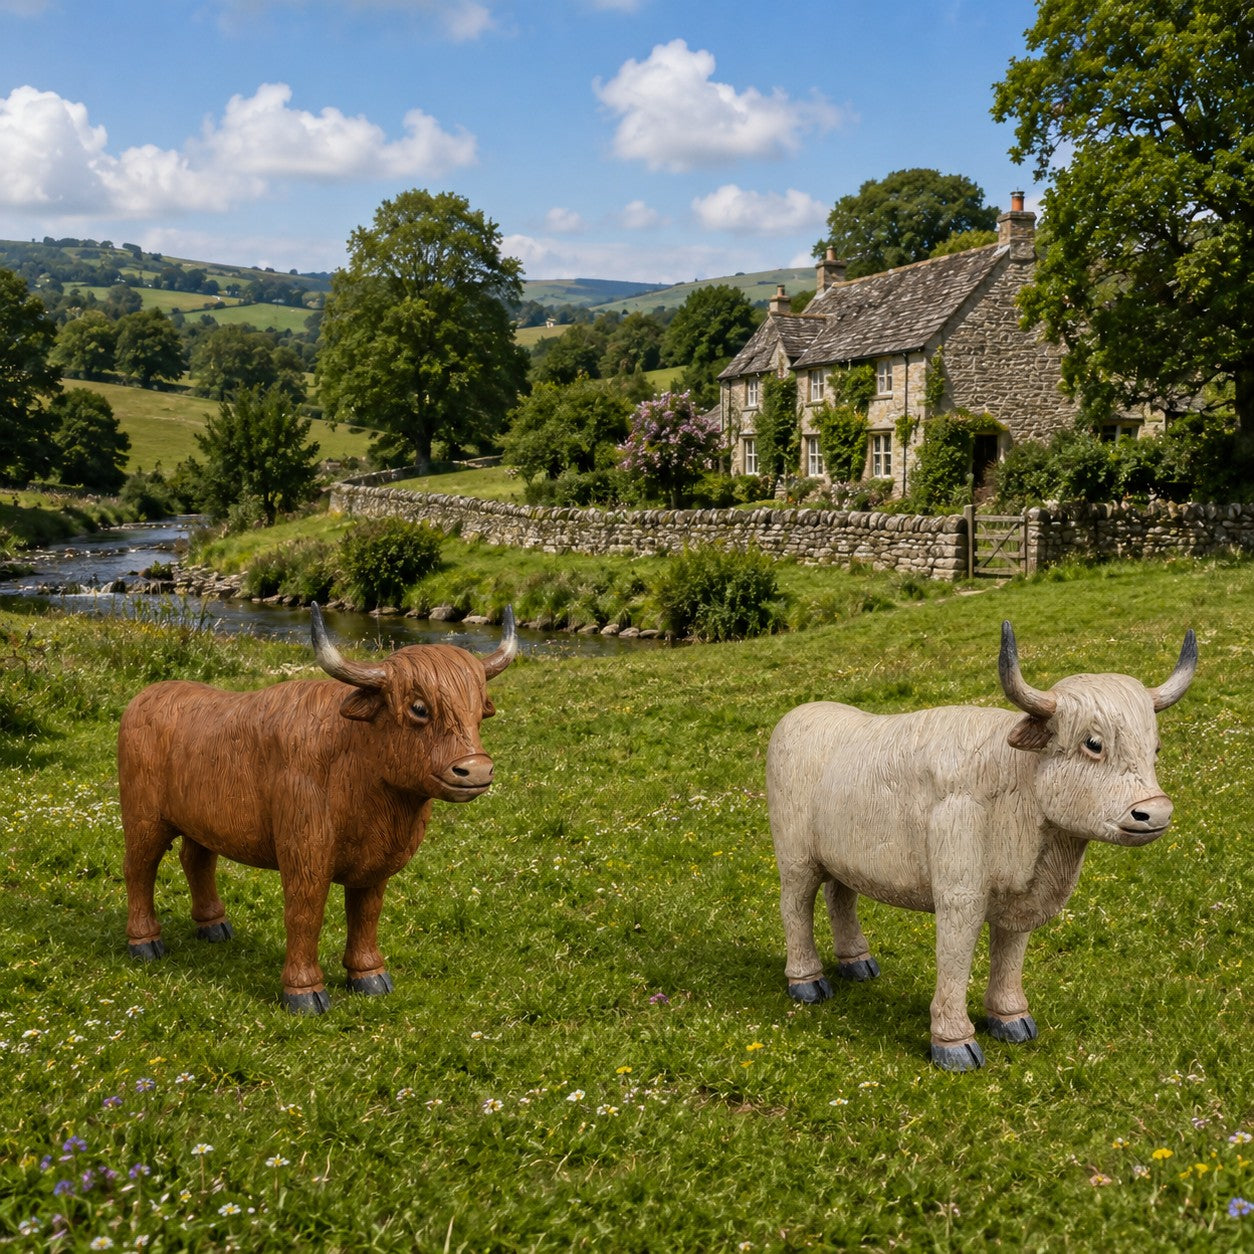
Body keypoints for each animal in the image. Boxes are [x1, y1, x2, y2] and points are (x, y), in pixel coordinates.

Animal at [118, 604, 518, 1013]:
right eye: (418, 708)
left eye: (480, 712)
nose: (477, 769)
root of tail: (145, 697)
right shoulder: (305, 857)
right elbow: (305, 915)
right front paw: (304, 991)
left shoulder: (375, 866)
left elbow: (366, 915)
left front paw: (369, 975)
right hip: (143, 819)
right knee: (139, 870)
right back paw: (145, 942)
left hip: (202, 822)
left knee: (196, 861)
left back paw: (214, 926)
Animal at [766, 621, 1196, 1070]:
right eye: (1092, 743)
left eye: (1155, 748)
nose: (1156, 813)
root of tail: (802, 713)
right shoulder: (961, 896)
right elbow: (956, 958)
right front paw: (953, 1041)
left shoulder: (1020, 899)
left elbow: (1009, 955)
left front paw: (1010, 1017)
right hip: (797, 860)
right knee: (796, 907)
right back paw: (808, 981)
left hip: (843, 856)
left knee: (840, 897)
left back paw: (857, 962)